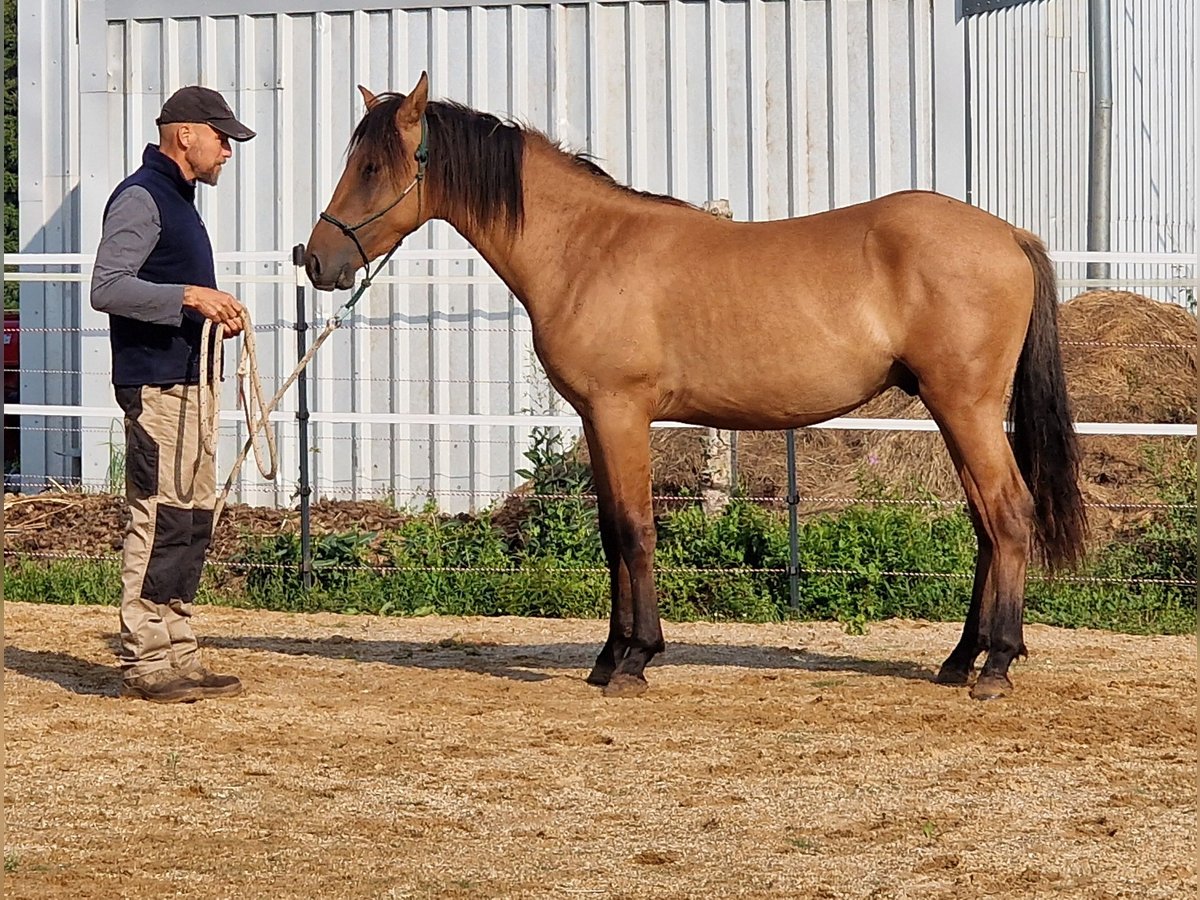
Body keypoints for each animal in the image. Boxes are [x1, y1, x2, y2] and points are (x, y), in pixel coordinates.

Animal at [303, 73, 1086, 701]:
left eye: (372, 166)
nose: (315, 259)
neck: (587, 247)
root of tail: (1009, 236)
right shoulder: (597, 418)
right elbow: (611, 531)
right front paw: (608, 657)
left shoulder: (622, 412)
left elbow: (633, 529)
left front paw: (633, 661)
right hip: (955, 412)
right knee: (986, 523)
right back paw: (960, 660)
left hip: (966, 408)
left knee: (1008, 514)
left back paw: (996, 667)